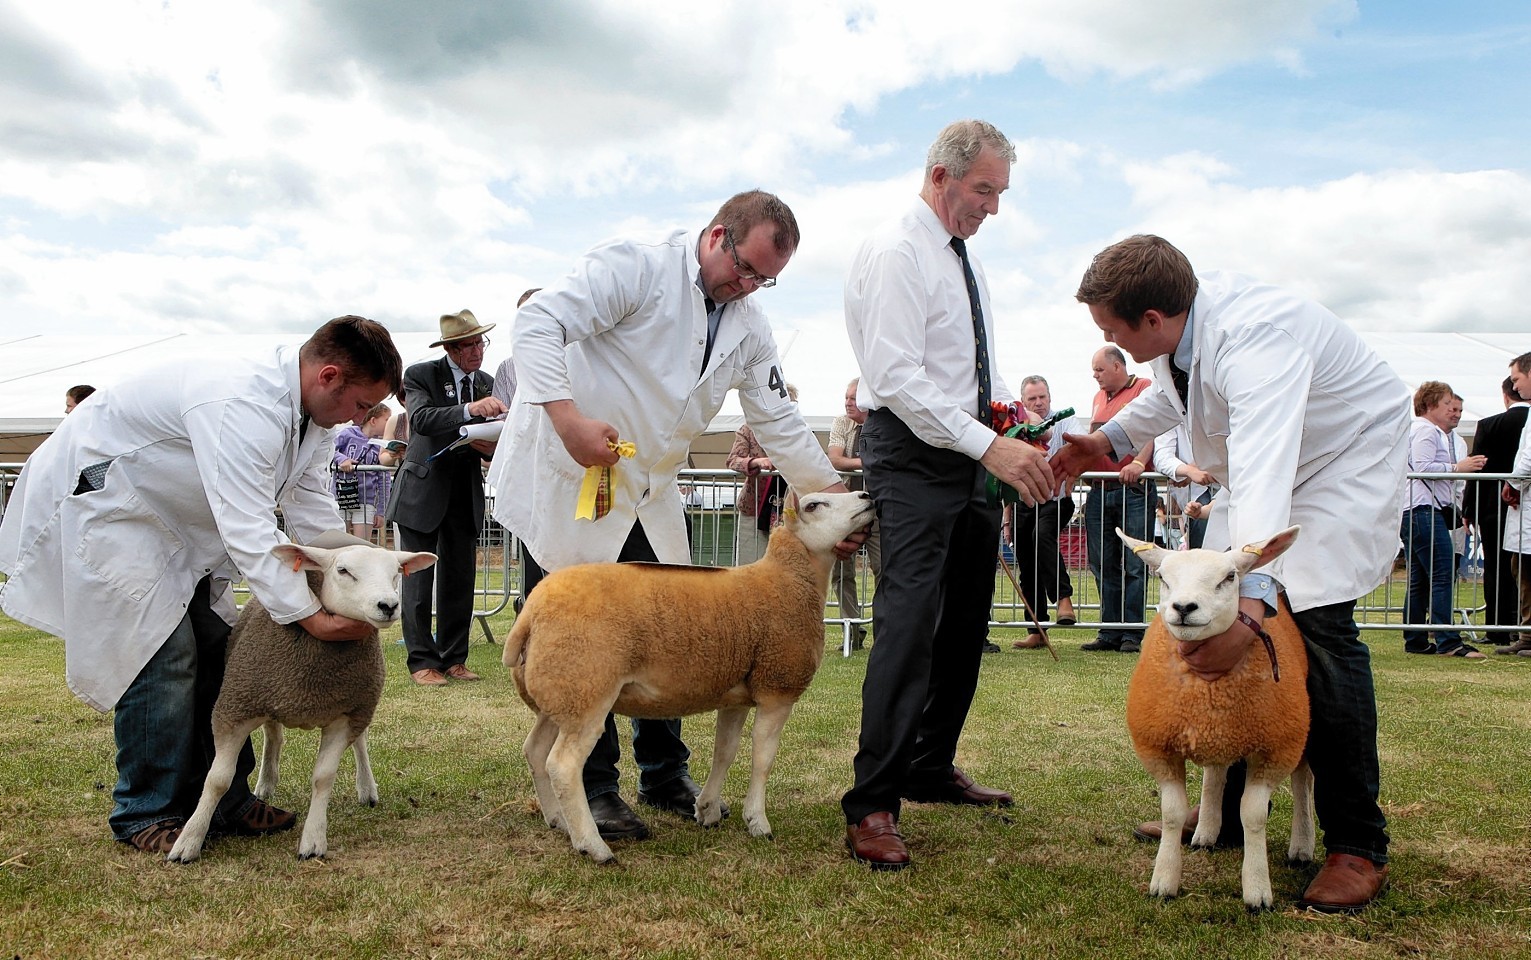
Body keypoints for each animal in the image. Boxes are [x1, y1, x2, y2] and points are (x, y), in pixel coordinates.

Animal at [170, 542, 440, 863]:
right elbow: (218, 779)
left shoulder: (345, 715)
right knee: (273, 736)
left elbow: (324, 777)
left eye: (396, 573)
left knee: (360, 741)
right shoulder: (235, 709)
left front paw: (313, 841)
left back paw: (366, 788)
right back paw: (266, 784)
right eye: (343, 571)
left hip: (362, 701)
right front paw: (189, 841)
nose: (388, 606)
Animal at [508, 493, 881, 869]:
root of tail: (531, 612)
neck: (787, 580)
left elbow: (724, 752)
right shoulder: (777, 688)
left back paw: (557, 820)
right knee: (563, 765)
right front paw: (757, 821)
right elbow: (763, 757)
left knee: (535, 751)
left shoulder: (736, 695)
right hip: (586, 689)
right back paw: (592, 844)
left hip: (559, 693)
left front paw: (707, 810)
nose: (866, 497)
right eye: (815, 506)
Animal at [1114, 526, 1316, 906]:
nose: (1183, 608)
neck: (1207, 687)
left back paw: (1302, 846)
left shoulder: (1274, 748)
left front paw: (1257, 889)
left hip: (1299, 728)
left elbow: (1252, 815)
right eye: (1162, 578)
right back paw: (1206, 831)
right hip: (1218, 733)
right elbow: (1172, 813)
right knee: (1215, 774)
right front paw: (1164, 879)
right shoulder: (1160, 747)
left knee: (1303, 781)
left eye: (1230, 577)